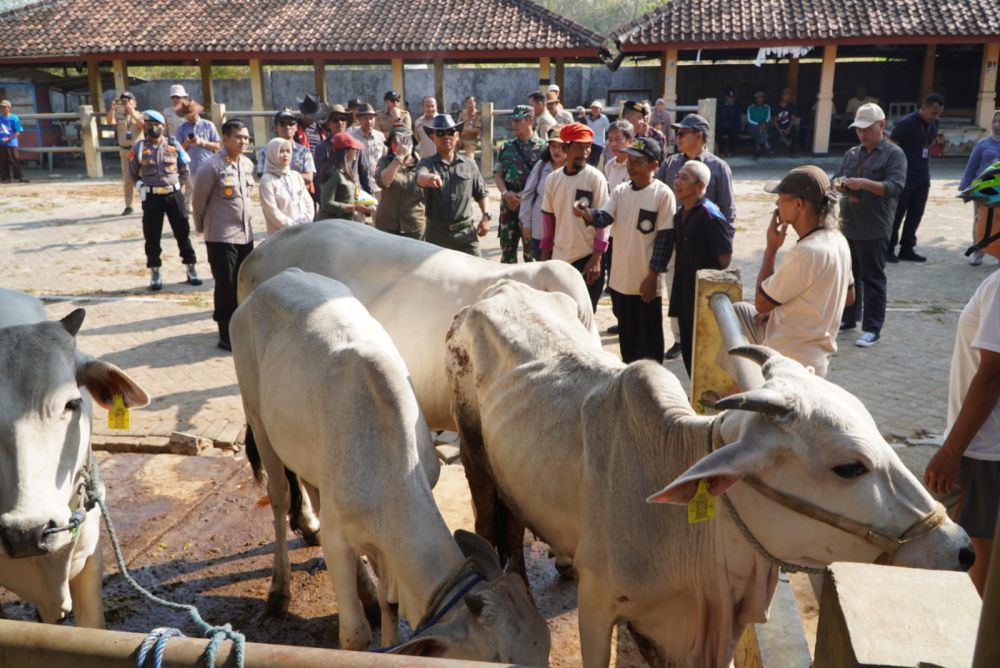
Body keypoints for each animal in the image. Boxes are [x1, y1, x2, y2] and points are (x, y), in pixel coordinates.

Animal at [231, 268, 552, 664]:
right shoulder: (338, 541)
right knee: (278, 497)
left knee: (313, 489)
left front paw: (378, 604)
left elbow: (390, 604)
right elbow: (355, 636)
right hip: (256, 414)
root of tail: (278, 278)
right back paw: (279, 590)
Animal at [448, 280, 976, 668]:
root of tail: (498, 288)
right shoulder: (596, 610)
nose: (962, 549)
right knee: (495, 525)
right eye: (849, 467)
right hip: (475, 456)